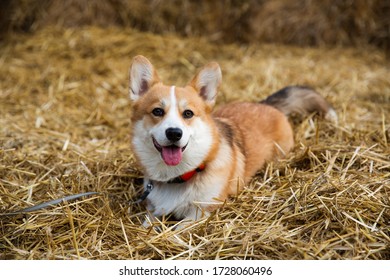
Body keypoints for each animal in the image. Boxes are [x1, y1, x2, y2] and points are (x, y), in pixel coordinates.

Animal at [128, 55, 336, 228]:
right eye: (157, 111)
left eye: (188, 113)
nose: (174, 133)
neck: (179, 175)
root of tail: (267, 104)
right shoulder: (153, 209)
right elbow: (147, 224)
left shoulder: (200, 212)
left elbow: (177, 231)